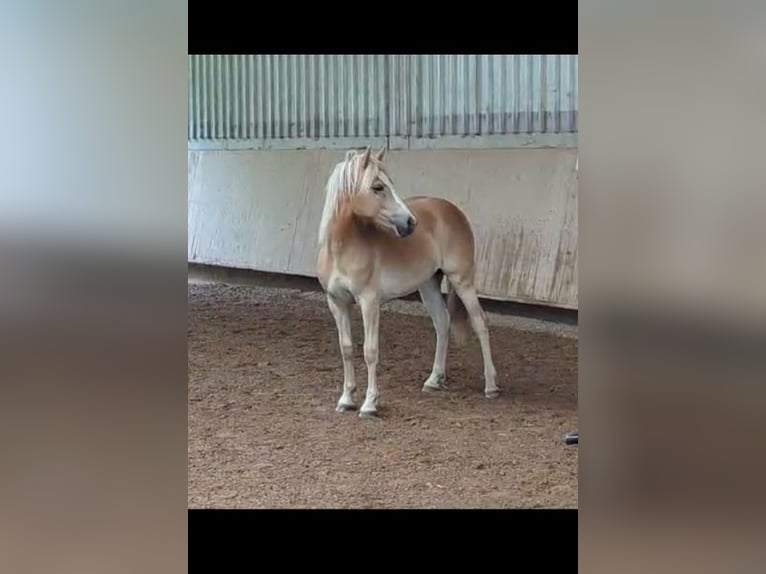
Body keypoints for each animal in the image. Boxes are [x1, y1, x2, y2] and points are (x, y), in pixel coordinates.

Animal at [316, 146, 500, 420]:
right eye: (378, 187)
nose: (410, 223)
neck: (341, 247)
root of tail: (452, 210)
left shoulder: (369, 301)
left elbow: (370, 351)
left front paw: (369, 404)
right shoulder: (336, 302)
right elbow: (346, 348)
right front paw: (346, 399)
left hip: (463, 280)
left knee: (480, 322)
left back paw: (490, 385)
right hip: (428, 286)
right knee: (442, 323)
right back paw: (434, 380)